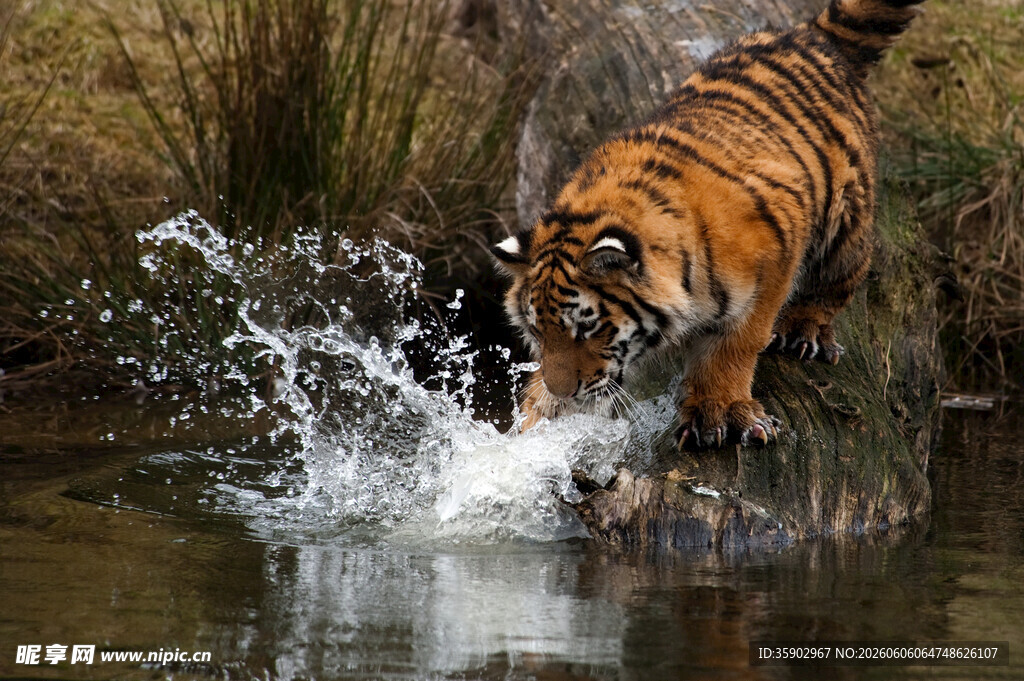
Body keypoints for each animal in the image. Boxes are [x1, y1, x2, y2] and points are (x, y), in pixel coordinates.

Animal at [491, 0, 924, 449]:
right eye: (538, 332)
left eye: (587, 329)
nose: (564, 392)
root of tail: (811, 32)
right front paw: (534, 419)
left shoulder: (773, 256)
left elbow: (734, 345)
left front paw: (720, 412)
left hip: (845, 218)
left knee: (840, 276)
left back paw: (804, 330)